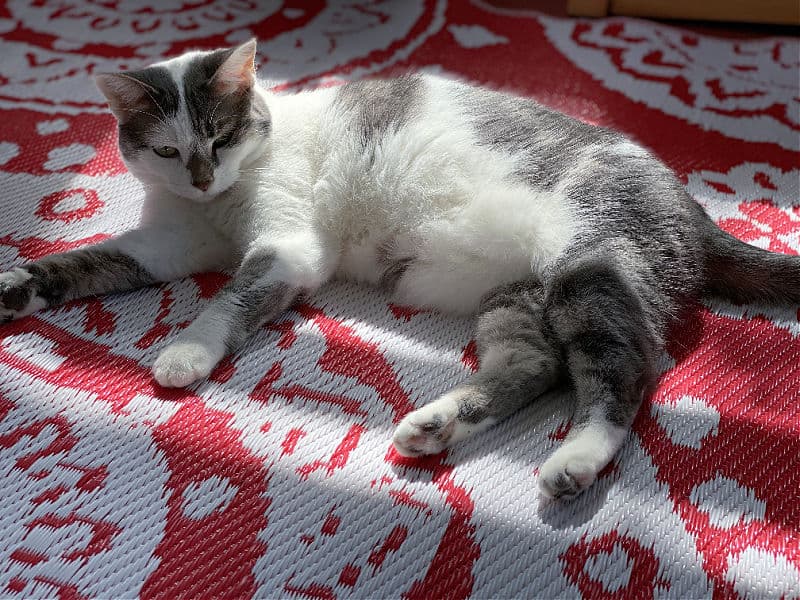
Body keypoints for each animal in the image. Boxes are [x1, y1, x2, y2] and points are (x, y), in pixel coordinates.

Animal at [1, 39, 800, 500]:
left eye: (220, 136)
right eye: (167, 151)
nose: (202, 178)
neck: (220, 206)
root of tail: (692, 204)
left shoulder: (285, 246)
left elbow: (229, 298)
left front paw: (186, 351)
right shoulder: (166, 243)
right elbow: (92, 259)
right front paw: (19, 284)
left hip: (589, 267)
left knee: (625, 368)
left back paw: (574, 460)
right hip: (518, 296)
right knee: (536, 364)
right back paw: (438, 425)